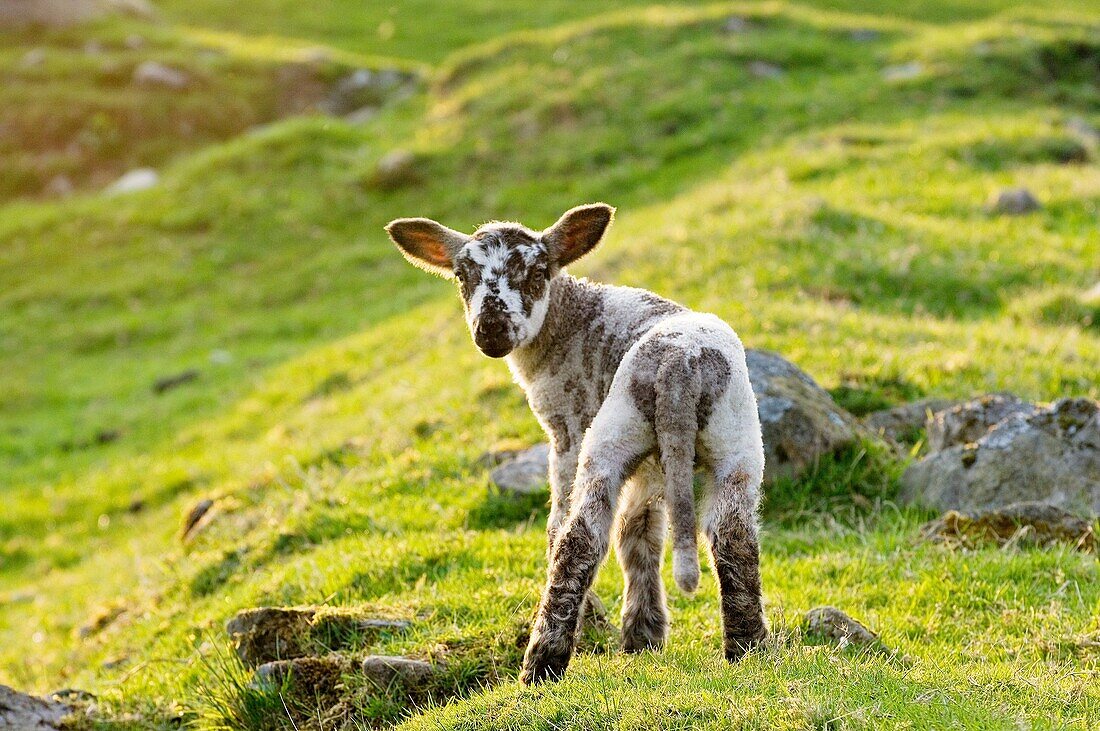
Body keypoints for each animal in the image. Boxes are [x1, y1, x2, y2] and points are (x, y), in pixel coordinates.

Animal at [387, 203, 765, 685]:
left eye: (537, 273)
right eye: (461, 275)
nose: (491, 330)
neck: (569, 321)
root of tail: (678, 369)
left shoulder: (566, 430)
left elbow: (560, 528)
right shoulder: (651, 466)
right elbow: (639, 532)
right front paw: (642, 636)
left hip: (607, 437)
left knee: (580, 538)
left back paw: (542, 663)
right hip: (735, 440)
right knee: (734, 537)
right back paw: (749, 650)